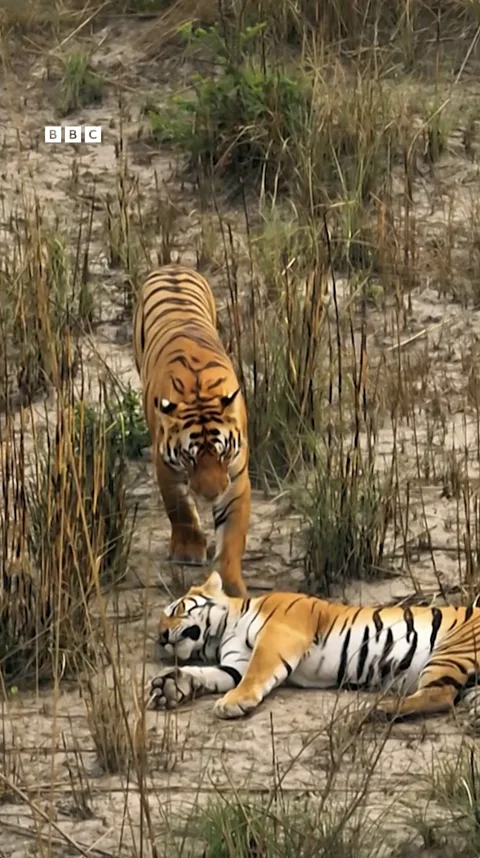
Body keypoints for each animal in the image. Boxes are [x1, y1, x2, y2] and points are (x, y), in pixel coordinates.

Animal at [133, 264, 251, 598]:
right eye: (191, 458)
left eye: (223, 455)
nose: (211, 495)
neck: (199, 393)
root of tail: (171, 265)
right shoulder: (165, 463)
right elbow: (180, 508)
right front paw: (188, 551)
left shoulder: (236, 475)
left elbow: (232, 536)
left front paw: (232, 587)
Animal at [146, 570, 480, 722]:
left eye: (174, 609)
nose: (160, 636)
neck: (223, 631)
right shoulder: (233, 665)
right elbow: (205, 675)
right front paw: (168, 687)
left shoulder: (279, 634)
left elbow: (256, 673)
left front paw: (232, 703)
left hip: (451, 649)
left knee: (440, 695)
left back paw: (374, 710)